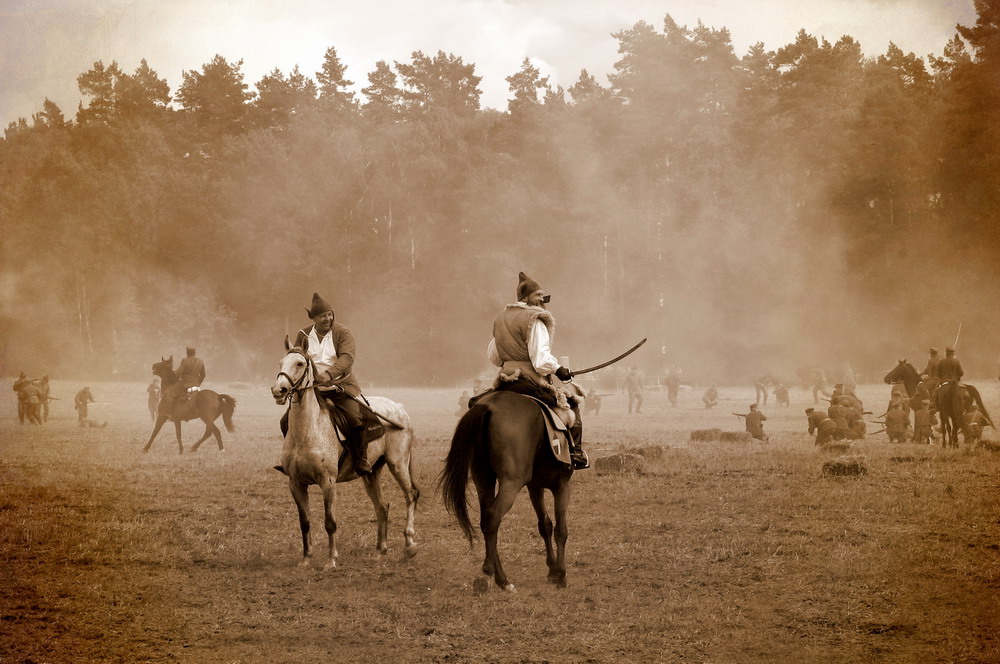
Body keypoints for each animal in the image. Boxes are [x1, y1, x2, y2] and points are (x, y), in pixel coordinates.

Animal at [270, 340, 418, 568]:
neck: (308, 430)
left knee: (410, 496)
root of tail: (399, 408)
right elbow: (305, 522)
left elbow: (330, 522)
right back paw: (380, 551)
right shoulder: (295, 483)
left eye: (300, 363)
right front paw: (306, 559)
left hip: (398, 464)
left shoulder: (328, 482)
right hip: (371, 473)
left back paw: (410, 545)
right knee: (382, 507)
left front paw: (331, 560)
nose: (279, 390)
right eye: (280, 362)